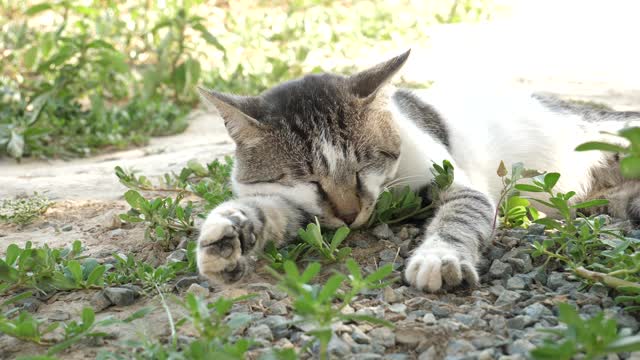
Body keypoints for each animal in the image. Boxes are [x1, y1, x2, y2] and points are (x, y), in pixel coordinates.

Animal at [195, 50, 640, 292]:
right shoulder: (303, 210)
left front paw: (440, 256)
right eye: (307, 180)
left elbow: (460, 218)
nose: (350, 214)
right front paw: (227, 233)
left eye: (363, 164)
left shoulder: (458, 184)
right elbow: (269, 211)